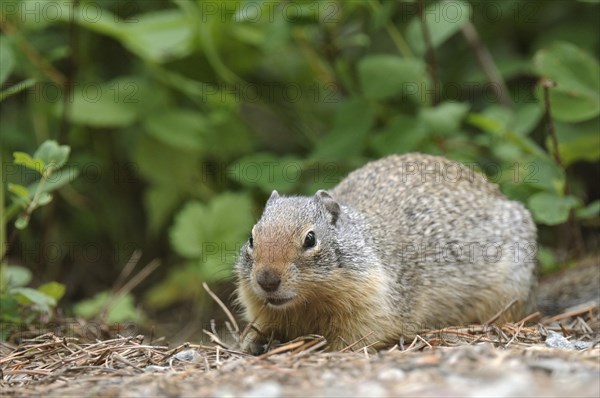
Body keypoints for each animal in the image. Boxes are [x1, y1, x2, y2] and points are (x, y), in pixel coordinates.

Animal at [233, 154, 536, 350]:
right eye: (251, 238)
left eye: (310, 239)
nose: (267, 280)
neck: (307, 303)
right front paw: (251, 343)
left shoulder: (372, 307)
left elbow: (353, 341)